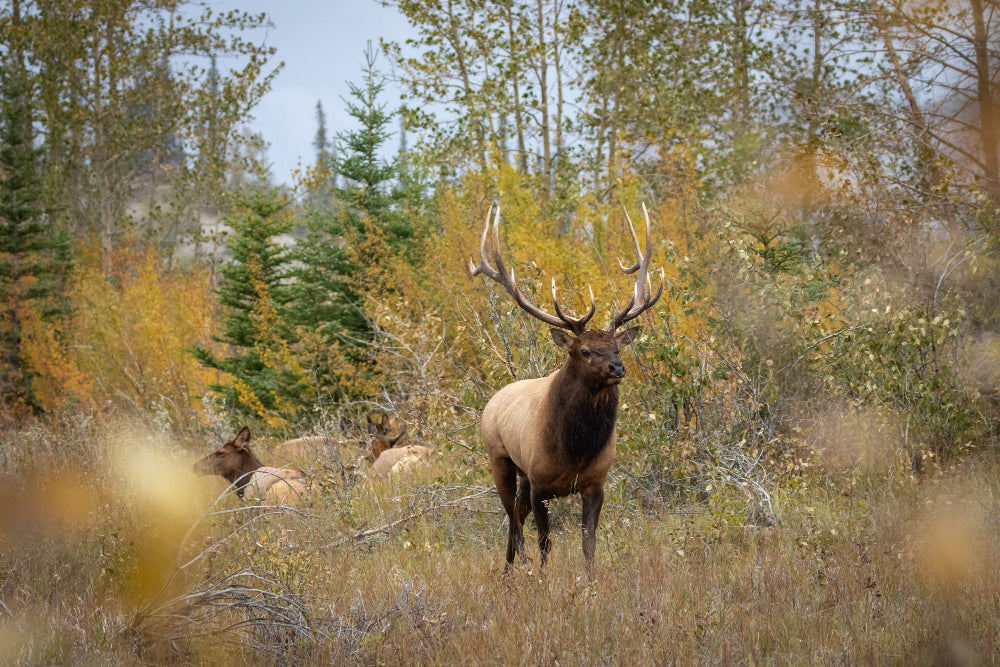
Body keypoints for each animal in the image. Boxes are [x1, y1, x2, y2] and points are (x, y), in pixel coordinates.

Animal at [470, 204, 664, 576]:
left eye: (616, 348)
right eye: (585, 351)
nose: (617, 368)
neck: (575, 450)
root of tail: (493, 400)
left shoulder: (595, 484)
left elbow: (589, 543)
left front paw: (590, 582)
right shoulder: (540, 484)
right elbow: (546, 544)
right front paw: (544, 579)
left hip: (522, 476)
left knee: (515, 519)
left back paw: (509, 573)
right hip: (500, 459)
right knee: (512, 522)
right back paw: (512, 570)